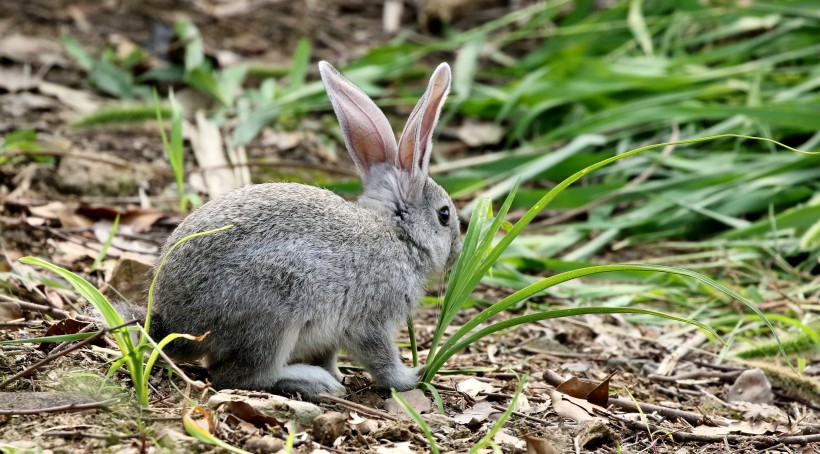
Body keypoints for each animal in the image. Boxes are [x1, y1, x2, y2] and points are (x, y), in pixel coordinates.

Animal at [145, 61, 464, 400]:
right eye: (444, 215)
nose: (457, 252)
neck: (399, 235)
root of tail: (174, 324)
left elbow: (329, 354)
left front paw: (341, 373)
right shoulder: (370, 321)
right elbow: (381, 359)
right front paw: (411, 376)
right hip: (273, 312)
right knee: (241, 376)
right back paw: (314, 382)